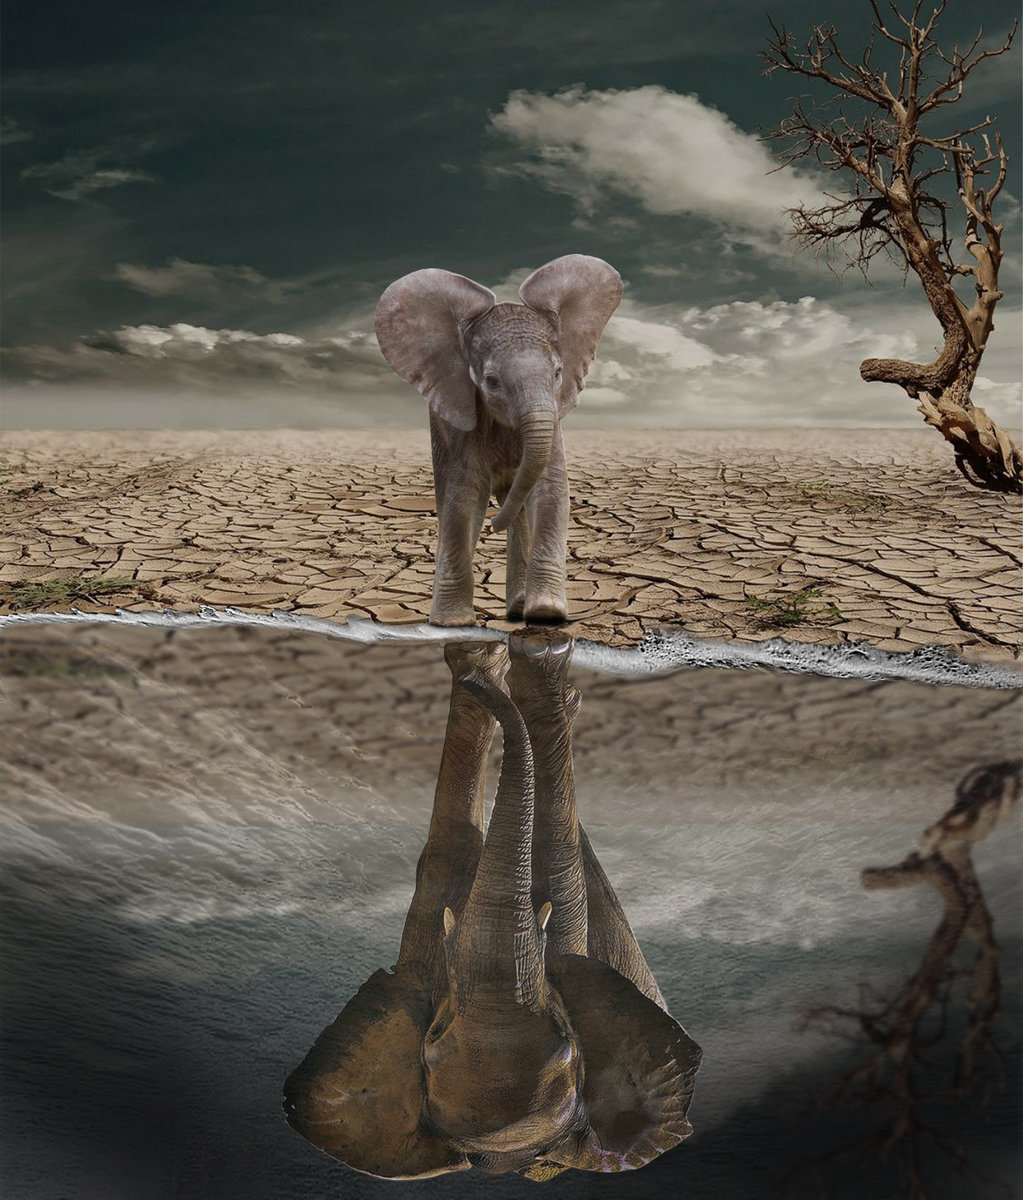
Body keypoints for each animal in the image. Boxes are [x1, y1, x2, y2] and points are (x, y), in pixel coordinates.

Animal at [283, 630, 701, 1180]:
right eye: (433, 1038)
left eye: (565, 1036)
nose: (479, 686)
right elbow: (448, 854)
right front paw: (481, 661)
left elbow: (553, 881)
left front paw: (504, 661)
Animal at [374, 254, 623, 626]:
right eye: (491, 382)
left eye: (558, 374)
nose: (493, 525)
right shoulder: (462, 417)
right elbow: (463, 497)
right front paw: (452, 623)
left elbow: (550, 488)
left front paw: (547, 613)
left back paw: (520, 608)